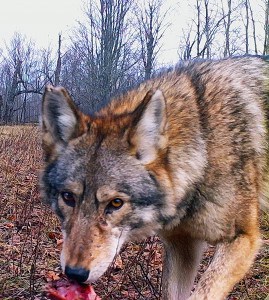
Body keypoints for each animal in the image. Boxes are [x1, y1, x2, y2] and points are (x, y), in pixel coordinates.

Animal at [39, 56, 268, 300]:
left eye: (116, 203)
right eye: (68, 197)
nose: (74, 273)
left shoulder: (242, 240)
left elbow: (202, 292)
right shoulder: (182, 246)